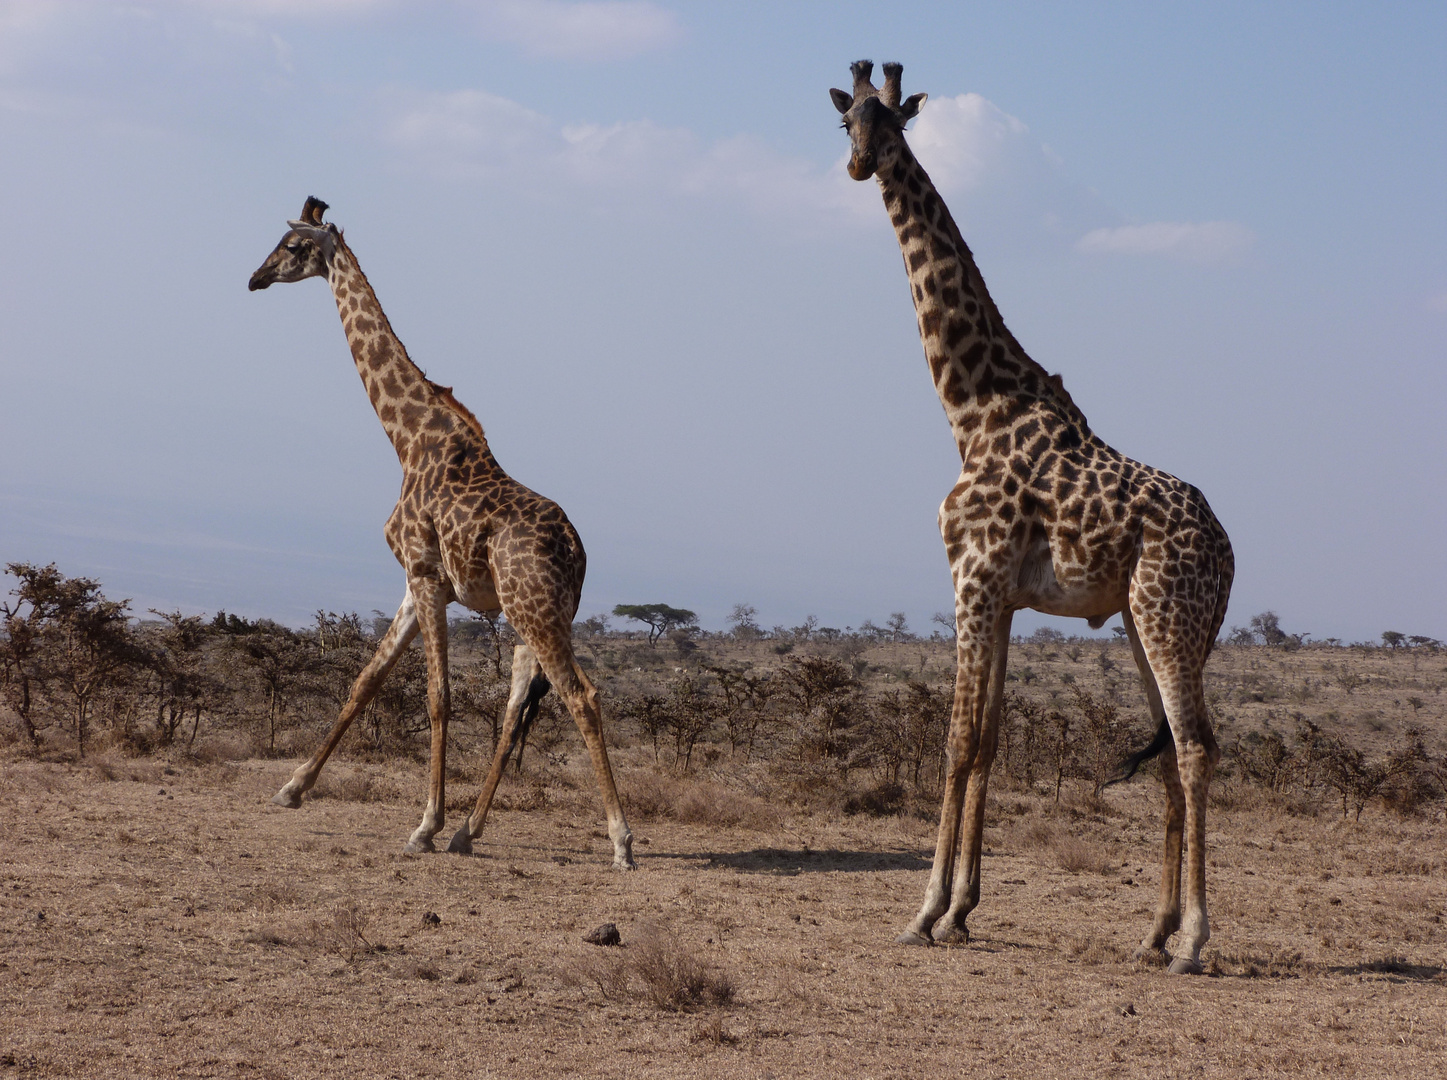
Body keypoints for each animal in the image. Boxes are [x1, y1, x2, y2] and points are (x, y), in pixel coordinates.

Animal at [247, 195, 633, 868]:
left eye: (292, 247)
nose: (255, 277)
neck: (407, 438)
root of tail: (577, 551)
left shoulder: (427, 576)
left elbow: (438, 696)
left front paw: (423, 823)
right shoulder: (412, 583)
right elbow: (365, 680)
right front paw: (292, 788)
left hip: (535, 611)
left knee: (580, 697)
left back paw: (620, 841)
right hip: (535, 612)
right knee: (517, 704)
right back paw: (468, 832)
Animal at [839, 62, 1232, 972]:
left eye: (893, 123)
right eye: (846, 122)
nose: (860, 166)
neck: (971, 406)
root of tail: (1231, 552)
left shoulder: (971, 579)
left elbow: (954, 740)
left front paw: (923, 911)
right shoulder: (1007, 598)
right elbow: (986, 740)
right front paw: (959, 910)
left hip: (1166, 616)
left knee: (1196, 747)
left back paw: (1193, 940)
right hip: (1144, 623)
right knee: (1170, 754)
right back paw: (1152, 932)